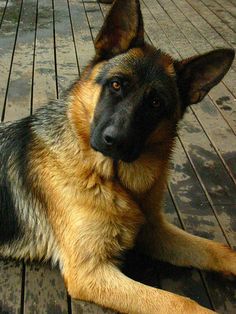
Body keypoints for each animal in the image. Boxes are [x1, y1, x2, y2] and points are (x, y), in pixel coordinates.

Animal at [0, 0, 236, 312]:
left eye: (155, 103)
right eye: (115, 85)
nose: (115, 141)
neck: (112, 179)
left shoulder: (154, 231)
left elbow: (218, 250)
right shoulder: (90, 273)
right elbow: (180, 302)